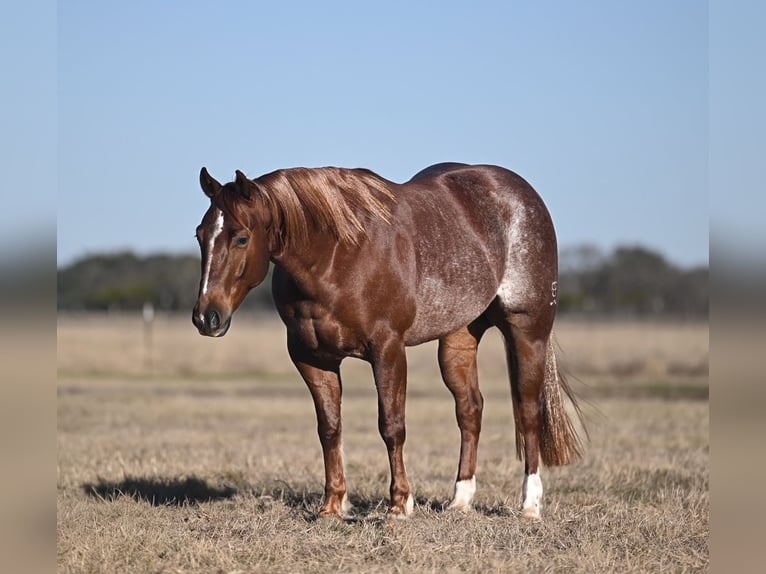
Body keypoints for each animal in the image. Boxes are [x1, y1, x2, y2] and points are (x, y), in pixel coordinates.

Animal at [192, 162, 584, 520]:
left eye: (242, 237)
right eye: (200, 235)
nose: (206, 317)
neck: (337, 256)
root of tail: (522, 195)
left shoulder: (388, 350)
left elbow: (391, 426)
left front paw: (399, 504)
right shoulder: (312, 357)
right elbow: (329, 428)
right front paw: (333, 505)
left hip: (527, 331)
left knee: (528, 410)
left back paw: (530, 505)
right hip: (457, 339)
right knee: (470, 409)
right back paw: (460, 501)